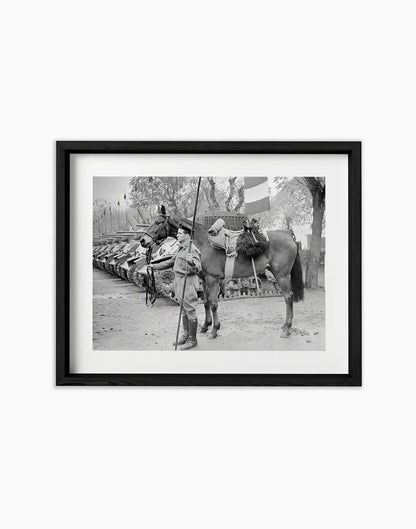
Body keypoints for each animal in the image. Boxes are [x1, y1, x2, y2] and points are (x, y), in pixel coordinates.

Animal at [141, 204, 304, 336]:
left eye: (158, 222)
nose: (143, 240)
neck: (203, 242)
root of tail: (289, 237)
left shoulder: (212, 279)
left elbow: (214, 304)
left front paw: (214, 329)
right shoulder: (204, 279)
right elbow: (206, 302)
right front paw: (205, 326)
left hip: (281, 276)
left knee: (288, 297)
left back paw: (287, 328)